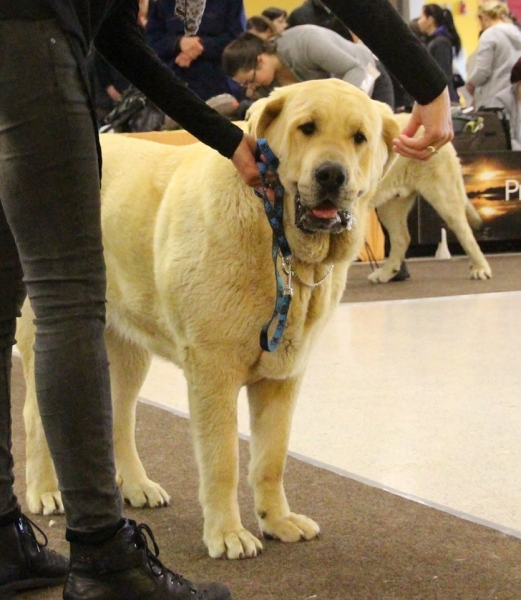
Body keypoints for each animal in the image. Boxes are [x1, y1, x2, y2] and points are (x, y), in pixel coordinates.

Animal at [16, 78, 398, 556]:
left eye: (359, 138)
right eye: (307, 128)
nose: (332, 174)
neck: (280, 240)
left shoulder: (283, 376)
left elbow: (272, 457)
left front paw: (278, 520)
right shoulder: (213, 374)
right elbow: (223, 461)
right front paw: (228, 534)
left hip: (129, 350)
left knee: (121, 417)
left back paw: (137, 486)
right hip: (43, 332)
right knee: (36, 417)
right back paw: (45, 490)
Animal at [366, 112, 492, 282]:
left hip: (444, 195)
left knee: (465, 232)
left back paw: (481, 268)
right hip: (390, 204)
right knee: (402, 238)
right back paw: (386, 273)